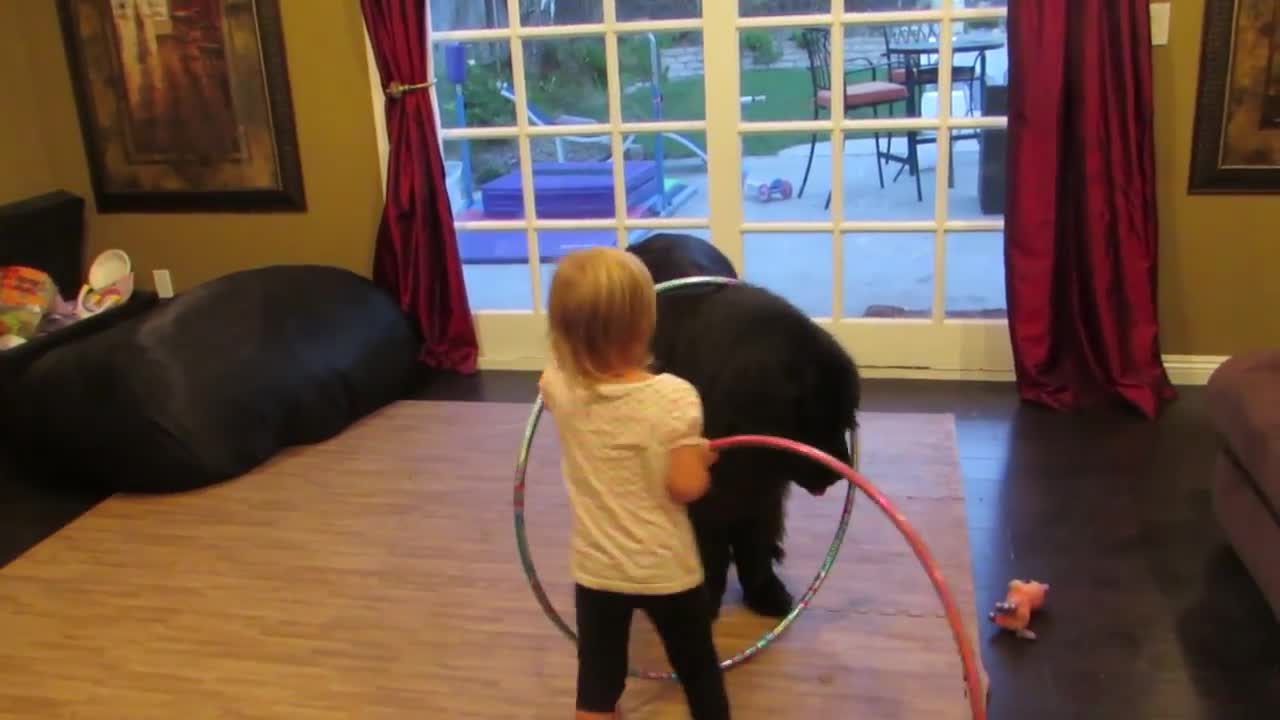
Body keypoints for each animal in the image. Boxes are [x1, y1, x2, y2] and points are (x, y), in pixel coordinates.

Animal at [627, 233, 860, 614]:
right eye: (813, 423)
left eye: (845, 421)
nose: (841, 472)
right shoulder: (707, 489)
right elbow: (710, 544)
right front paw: (706, 598)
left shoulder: (763, 488)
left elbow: (755, 538)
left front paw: (765, 589)